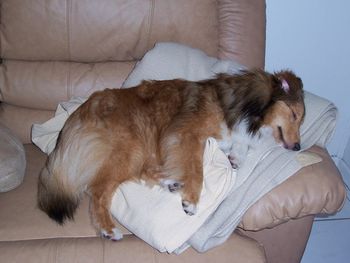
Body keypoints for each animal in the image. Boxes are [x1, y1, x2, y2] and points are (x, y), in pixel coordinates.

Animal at [36, 68, 304, 241]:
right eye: (294, 114)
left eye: (299, 119)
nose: (298, 147)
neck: (240, 104)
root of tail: (76, 116)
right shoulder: (185, 134)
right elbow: (197, 170)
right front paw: (192, 200)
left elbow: (237, 147)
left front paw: (236, 157)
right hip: (132, 145)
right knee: (99, 190)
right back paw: (108, 229)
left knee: (145, 171)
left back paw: (171, 182)